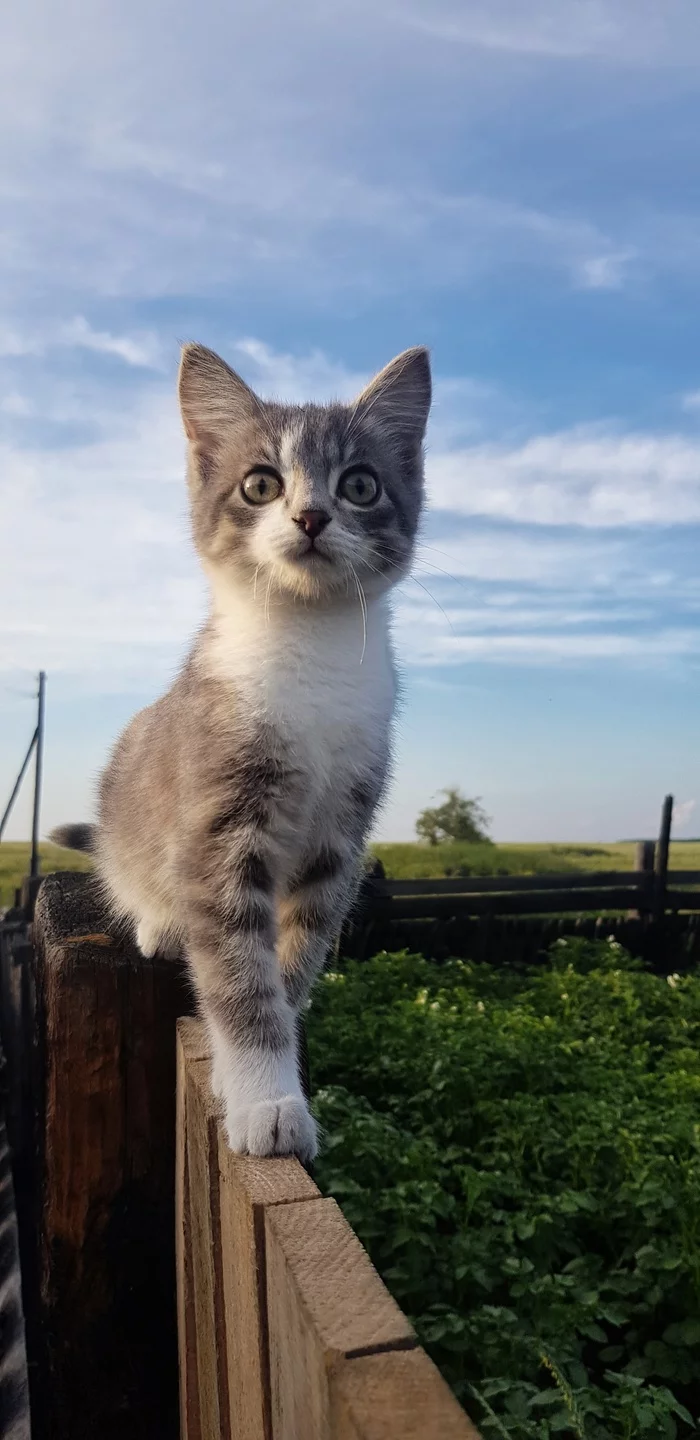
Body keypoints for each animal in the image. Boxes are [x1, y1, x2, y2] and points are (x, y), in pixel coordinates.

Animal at [50, 342, 432, 1163]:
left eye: (360, 484)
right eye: (262, 483)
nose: (312, 516)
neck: (308, 649)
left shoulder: (341, 836)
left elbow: (290, 966)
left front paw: (254, 1074)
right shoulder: (218, 820)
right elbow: (236, 971)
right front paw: (265, 1098)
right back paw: (158, 921)